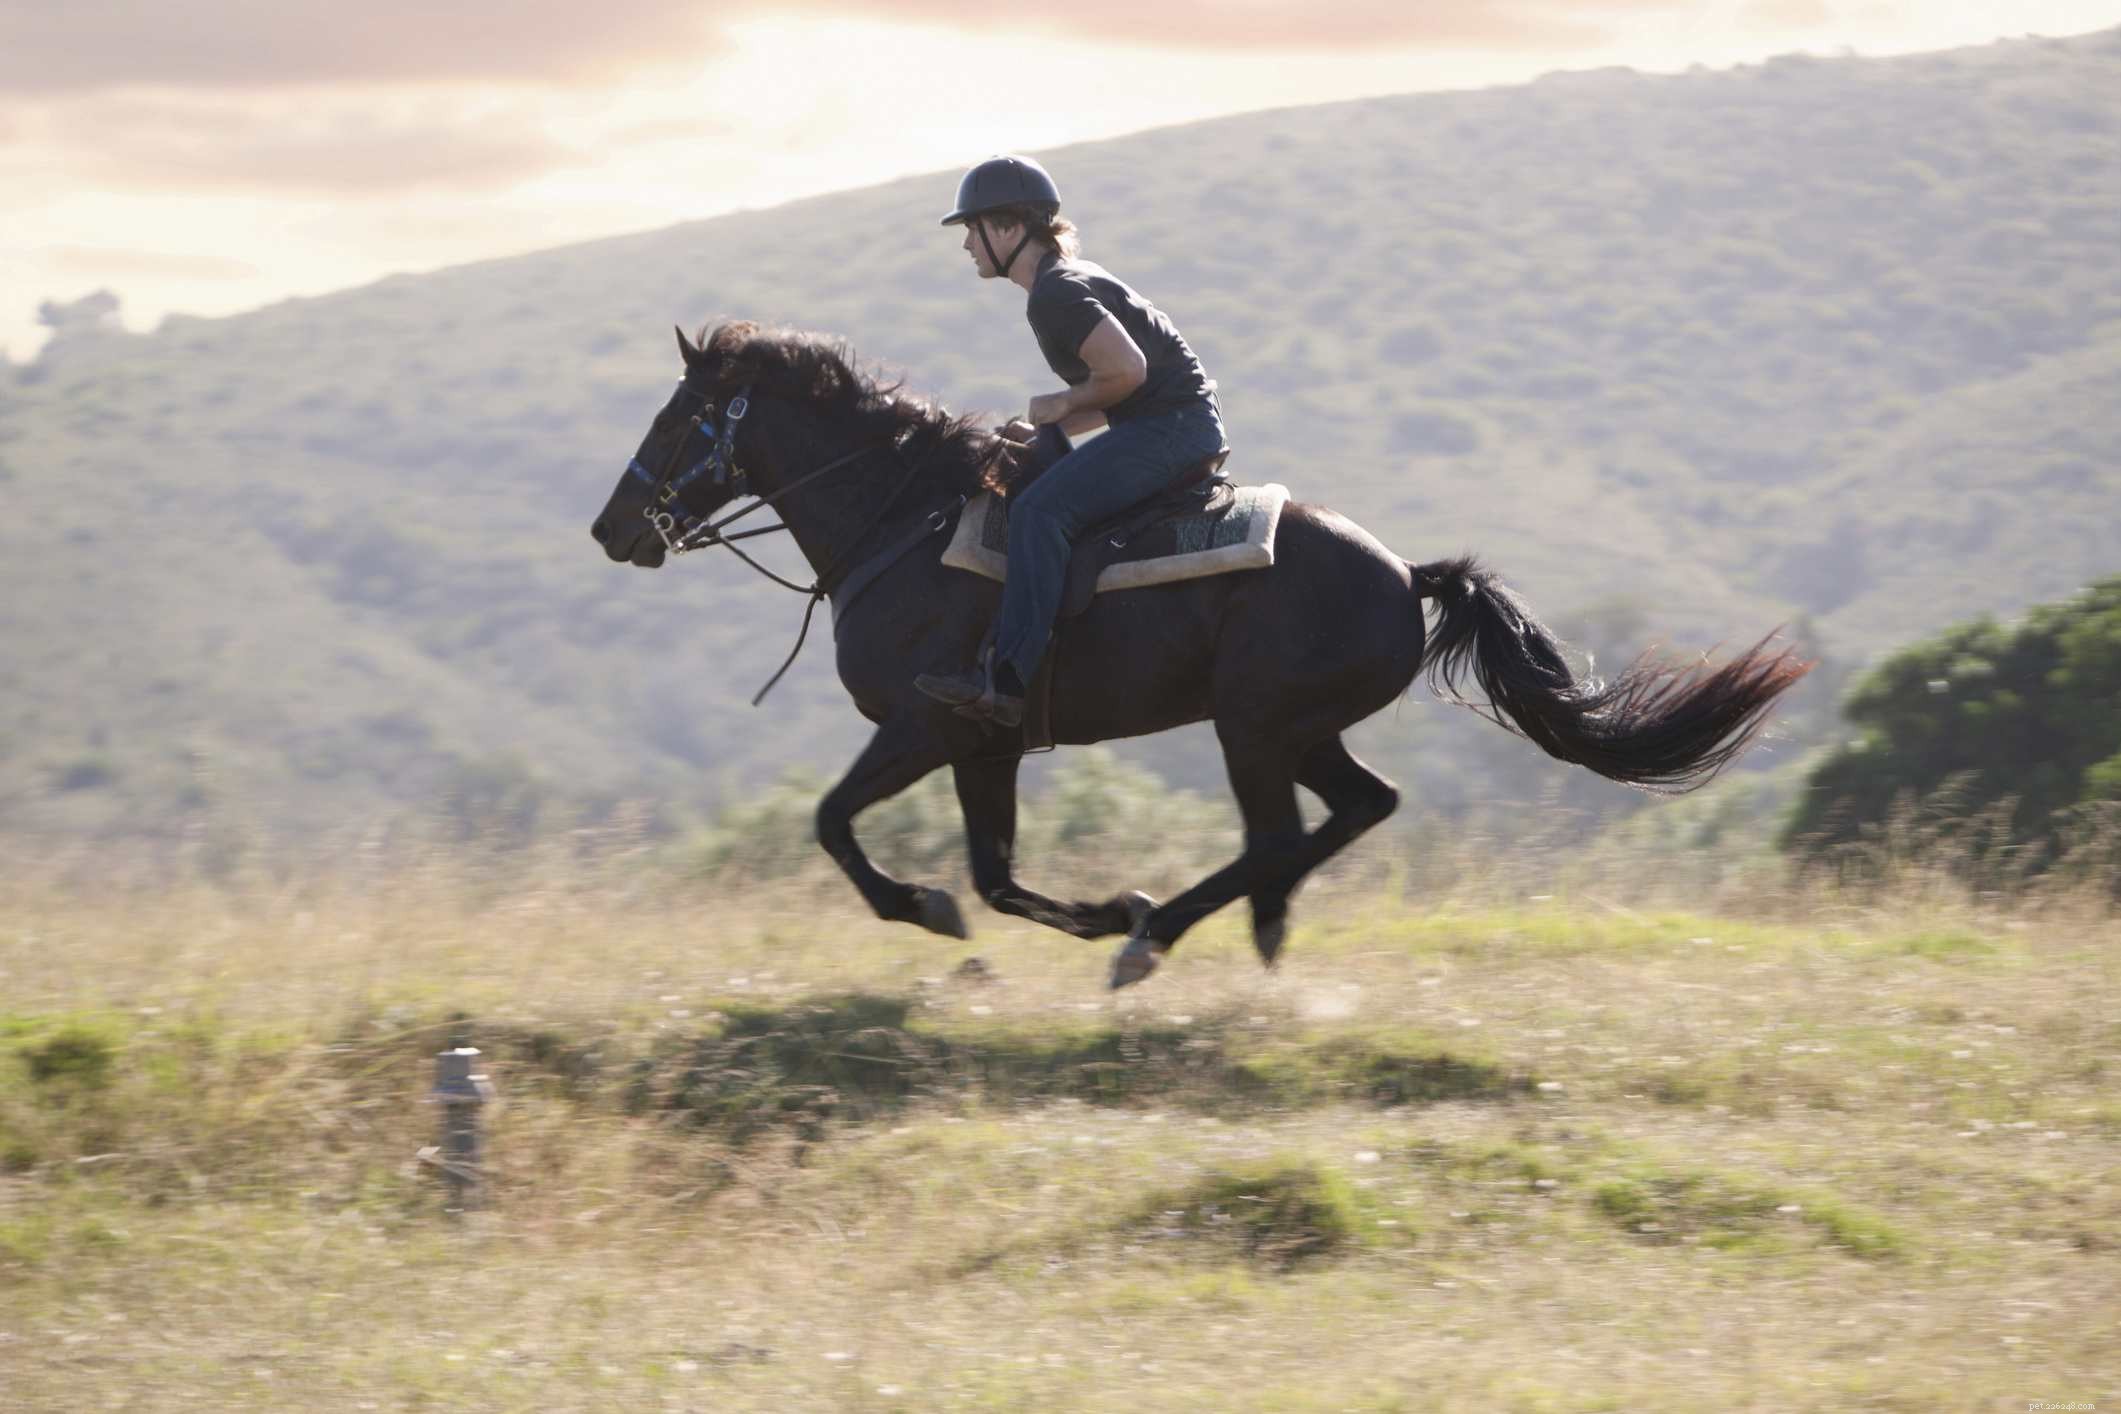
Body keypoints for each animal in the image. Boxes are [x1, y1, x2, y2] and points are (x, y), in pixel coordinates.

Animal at [591, 321, 1810, 988]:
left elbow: (838, 825)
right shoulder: (987, 745)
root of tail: (1406, 572)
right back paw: (1246, 927)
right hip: (1295, 729)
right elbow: (996, 875)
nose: (612, 529)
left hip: (1252, 726)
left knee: (1277, 834)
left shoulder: (928, 724)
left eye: (677, 419)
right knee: (1357, 808)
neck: (905, 517)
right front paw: (1087, 908)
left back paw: (1160, 936)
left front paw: (938, 908)